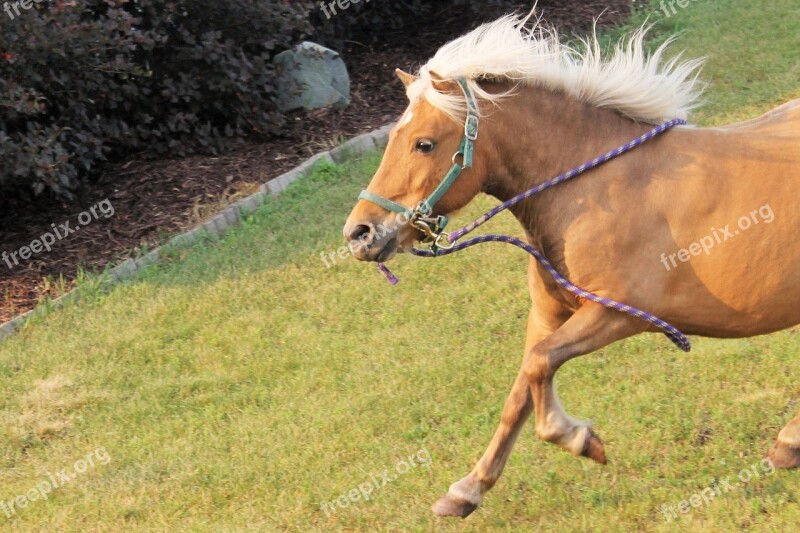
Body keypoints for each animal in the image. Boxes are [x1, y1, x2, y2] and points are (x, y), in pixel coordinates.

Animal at [340, 13, 796, 520]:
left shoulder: (618, 314)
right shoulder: (548, 315)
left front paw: (580, 438)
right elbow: (521, 389)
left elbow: (541, 367)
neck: (596, 190)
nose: (359, 234)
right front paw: (467, 489)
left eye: (424, 144)